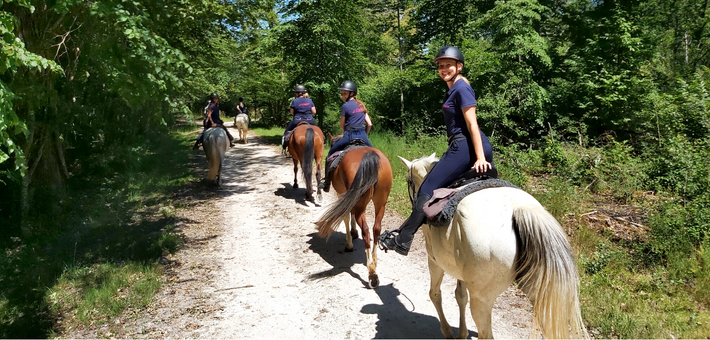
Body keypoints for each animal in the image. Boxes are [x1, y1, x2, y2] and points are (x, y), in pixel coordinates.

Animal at [318, 134, 394, 288]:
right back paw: (374, 264)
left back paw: (371, 273)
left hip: (360, 203)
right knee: (376, 229)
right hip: (381, 203)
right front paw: (353, 232)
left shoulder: (342, 194)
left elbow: (346, 217)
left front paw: (349, 244)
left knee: (365, 230)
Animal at [400, 153, 588, 338]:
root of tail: (520, 209)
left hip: (482, 299)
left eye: (409, 181)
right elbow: (460, 296)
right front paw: (462, 333)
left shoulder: (435, 261)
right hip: (543, 295)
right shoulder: (462, 272)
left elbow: (435, 294)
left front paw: (447, 332)